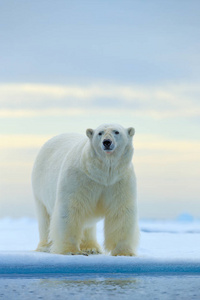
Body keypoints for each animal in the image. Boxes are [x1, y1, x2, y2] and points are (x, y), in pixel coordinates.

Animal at [32, 123, 140, 256]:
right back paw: (45, 246)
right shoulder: (79, 178)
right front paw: (70, 250)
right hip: (39, 187)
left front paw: (124, 252)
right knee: (45, 217)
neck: (102, 173)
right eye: (100, 133)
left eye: (116, 131)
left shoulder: (119, 181)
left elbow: (121, 211)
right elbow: (71, 209)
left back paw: (91, 248)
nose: (107, 142)